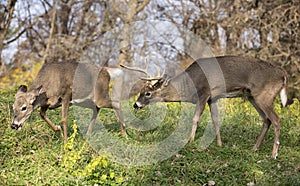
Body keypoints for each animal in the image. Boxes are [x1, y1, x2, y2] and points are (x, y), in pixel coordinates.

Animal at [122, 55, 288, 158]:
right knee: (266, 120)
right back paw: (254, 148)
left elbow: (195, 118)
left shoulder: (203, 93)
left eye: (148, 93)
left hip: (264, 95)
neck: (189, 85)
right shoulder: (213, 98)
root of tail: (283, 74)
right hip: (252, 96)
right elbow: (215, 120)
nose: (135, 105)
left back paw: (273, 154)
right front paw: (220, 144)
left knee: (277, 120)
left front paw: (190, 141)